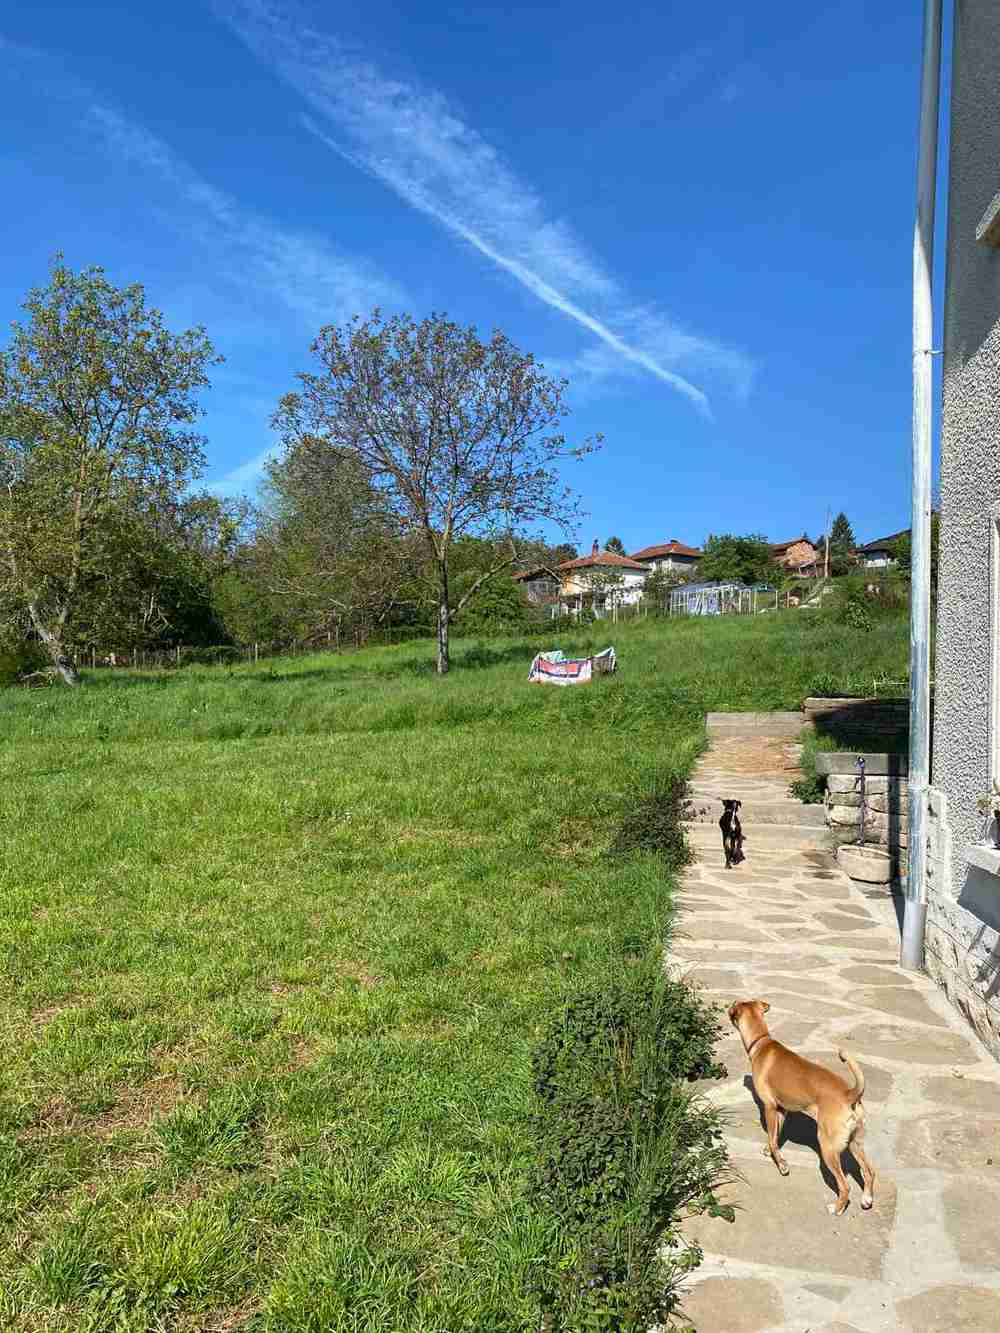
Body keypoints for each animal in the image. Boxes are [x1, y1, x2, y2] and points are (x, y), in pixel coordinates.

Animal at [728, 998, 875, 1216]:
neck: (761, 1041)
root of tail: (850, 1094)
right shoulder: (781, 1111)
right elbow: (774, 1137)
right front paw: (770, 1152)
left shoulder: (770, 1107)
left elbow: (773, 1139)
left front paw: (781, 1165)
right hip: (855, 1143)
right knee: (869, 1171)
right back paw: (866, 1199)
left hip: (828, 1147)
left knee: (845, 1185)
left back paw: (837, 1208)